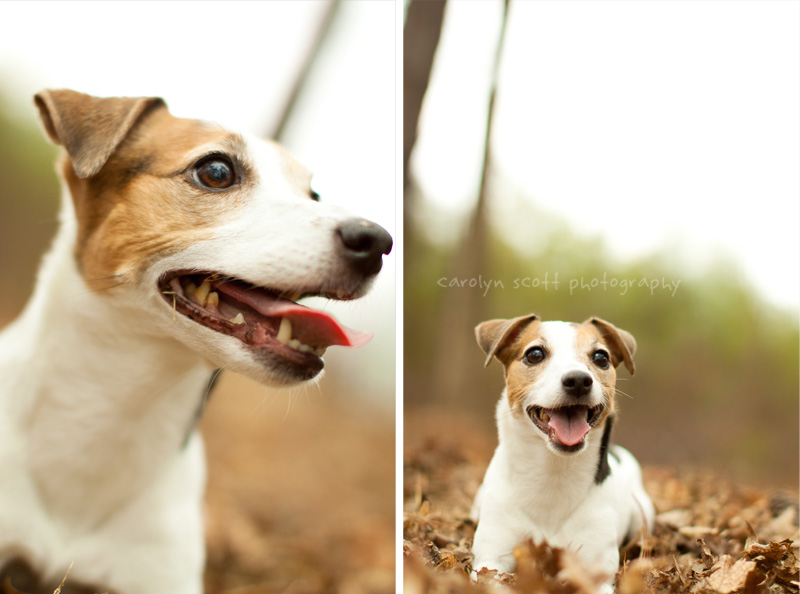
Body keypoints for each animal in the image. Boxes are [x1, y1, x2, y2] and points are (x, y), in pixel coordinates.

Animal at [472, 312, 652, 588]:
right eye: (534, 354)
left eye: (601, 357)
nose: (578, 380)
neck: (553, 472)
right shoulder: (490, 559)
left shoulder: (595, 573)